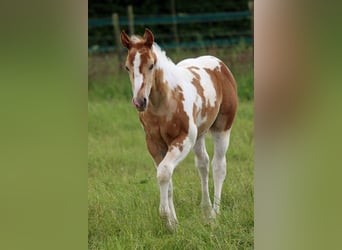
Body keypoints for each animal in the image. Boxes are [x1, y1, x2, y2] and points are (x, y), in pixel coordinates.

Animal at [121, 28, 238, 230]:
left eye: (151, 65)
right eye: (128, 67)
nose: (139, 101)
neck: (163, 103)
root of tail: (219, 64)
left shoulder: (183, 140)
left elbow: (164, 172)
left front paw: (166, 218)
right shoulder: (154, 144)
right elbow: (167, 177)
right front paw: (173, 223)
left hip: (222, 129)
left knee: (218, 166)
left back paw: (215, 214)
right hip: (199, 135)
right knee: (203, 164)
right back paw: (206, 211)